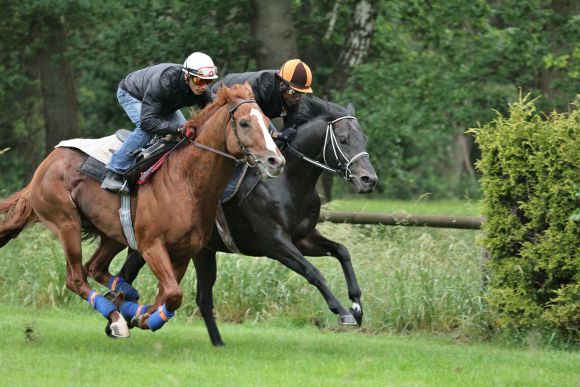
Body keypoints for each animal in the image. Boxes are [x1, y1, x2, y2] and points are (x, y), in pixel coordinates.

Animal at [0, 83, 284, 338]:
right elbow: (172, 294)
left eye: (267, 121)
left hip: (112, 233)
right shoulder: (151, 245)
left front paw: (141, 314)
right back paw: (116, 318)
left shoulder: (183, 252)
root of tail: (46, 164)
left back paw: (124, 298)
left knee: (95, 267)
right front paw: (140, 317)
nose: (276, 161)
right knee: (76, 278)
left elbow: (167, 296)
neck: (185, 181)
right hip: (65, 222)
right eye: (245, 123)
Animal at [120, 96, 378, 346]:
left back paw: (217, 343)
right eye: (343, 140)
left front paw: (357, 306)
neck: (288, 182)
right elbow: (313, 272)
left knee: (203, 298)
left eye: (364, 138)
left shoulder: (303, 238)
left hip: (202, 251)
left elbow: (342, 251)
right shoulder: (274, 243)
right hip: (152, 242)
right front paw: (343, 312)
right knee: (126, 274)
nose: (369, 180)